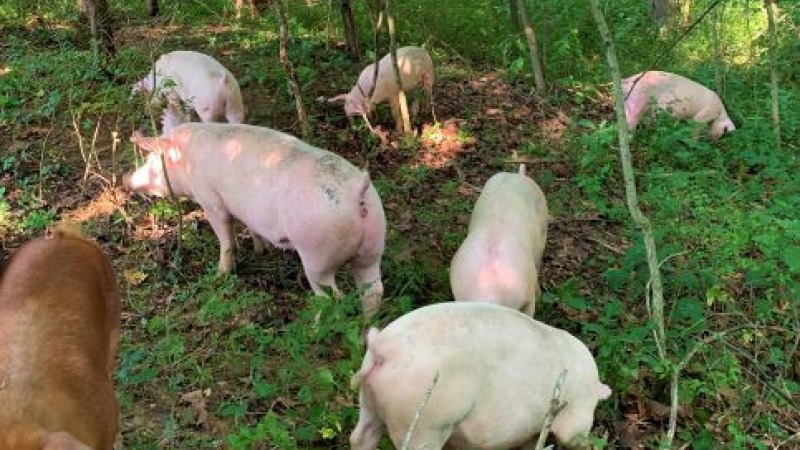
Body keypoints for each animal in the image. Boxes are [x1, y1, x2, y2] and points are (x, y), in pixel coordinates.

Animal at [124, 123, 386, 318]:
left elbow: (225, 237)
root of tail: (357, 192)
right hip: (374, 244)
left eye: (152, 161)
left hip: (317, 253)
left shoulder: (209, 198)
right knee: (373, 292)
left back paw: (315, 329)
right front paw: (260, 251)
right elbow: (252, 228)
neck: (187, 159)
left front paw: (220, 274)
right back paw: (366, 326)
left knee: (333, 297)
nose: (125, 179)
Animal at [350, 302, 611, 450]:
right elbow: (571, 437)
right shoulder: (578, 412)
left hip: (369, 400)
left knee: (360, 437)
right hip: (423, 420)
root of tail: (384, 348)